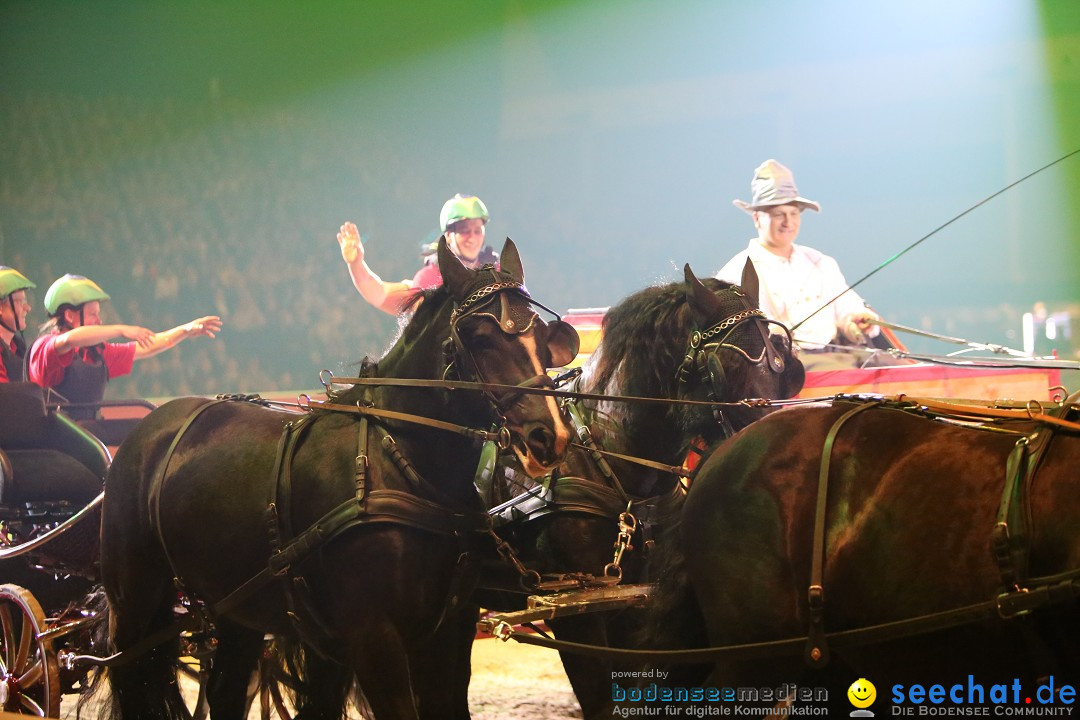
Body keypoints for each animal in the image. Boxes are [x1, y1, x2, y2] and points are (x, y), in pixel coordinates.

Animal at [97, 240, 578, 720]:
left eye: (542, 338)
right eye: (479, 338)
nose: (549, 435)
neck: (400, 463)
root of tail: (149, 426)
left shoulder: (449, 629)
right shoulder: (373, 635)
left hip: (236, 607)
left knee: (226, 690)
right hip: (136, 603)